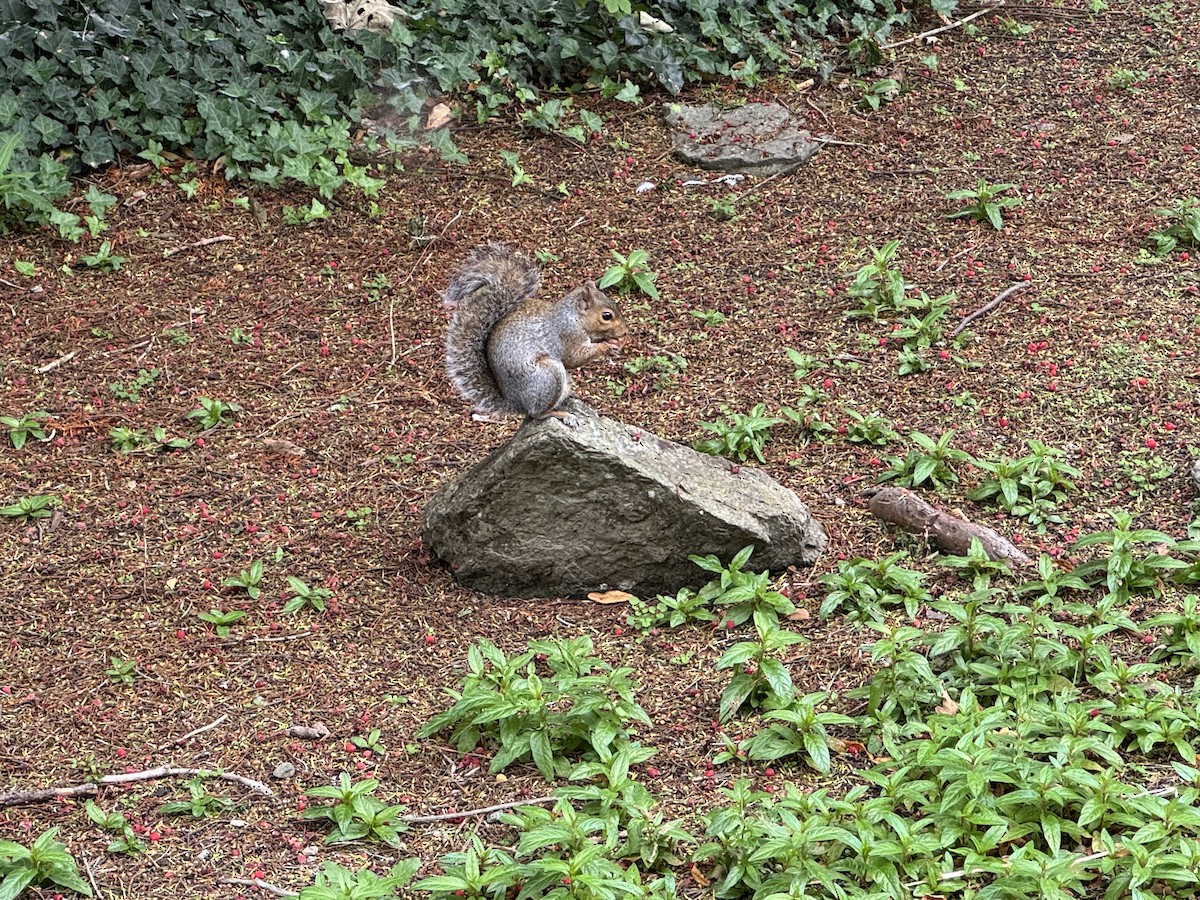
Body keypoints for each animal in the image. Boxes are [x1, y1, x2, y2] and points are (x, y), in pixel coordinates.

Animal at [443, 244, 628, 421]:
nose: (625, 331)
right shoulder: (568, 334)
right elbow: (573, 358)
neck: (574, 317)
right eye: (606, 316)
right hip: (549, 376)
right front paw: (607, 345)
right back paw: (560, 414)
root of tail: (516, 403)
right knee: (536, 413)